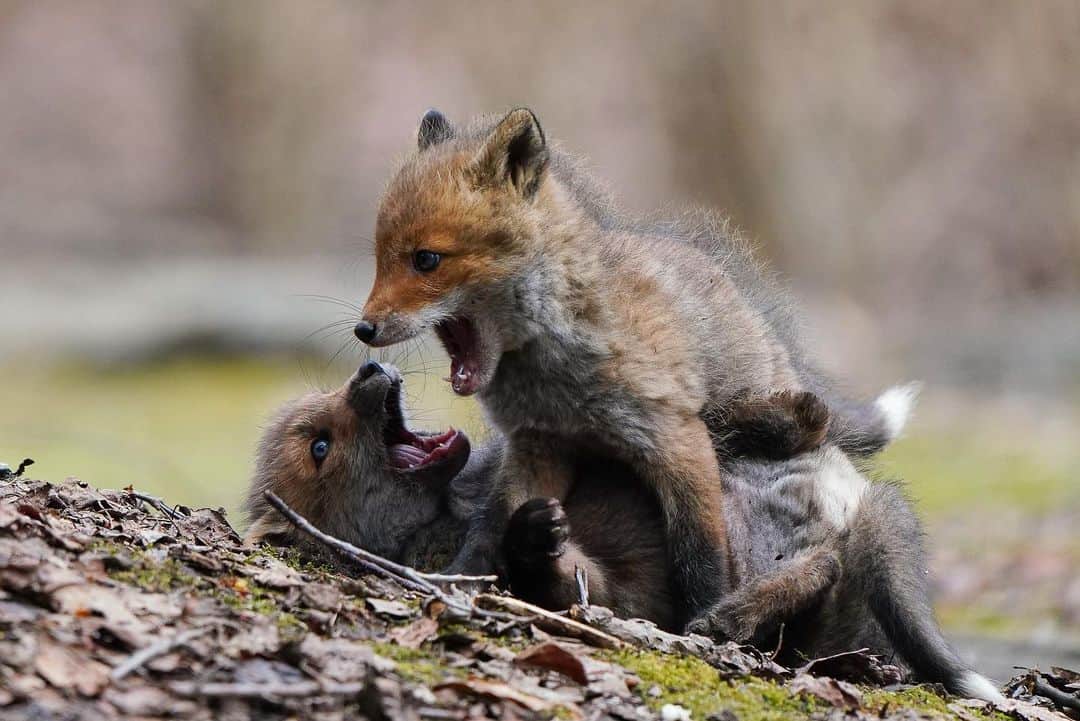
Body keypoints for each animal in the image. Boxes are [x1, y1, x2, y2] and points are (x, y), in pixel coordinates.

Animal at [243, 363, 1001, 703]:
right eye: (319, 445)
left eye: (327, 405)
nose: (372, 368)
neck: (449, 510)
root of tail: (854, 504)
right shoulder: (612, 593)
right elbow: (555, 575)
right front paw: (534, 536)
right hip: (814, 616)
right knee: (825, 566)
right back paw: (731, 614)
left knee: (776, 430)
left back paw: (775, 411)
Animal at [353, 107, 916, 623]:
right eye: (380, 257)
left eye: (426, 260)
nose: (364, 331)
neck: (554, 373)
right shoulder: (539, 445)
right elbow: (491, 526)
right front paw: (456, 581)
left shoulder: (673, 441)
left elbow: (699, 553)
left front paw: (703, 620)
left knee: (805, 425)